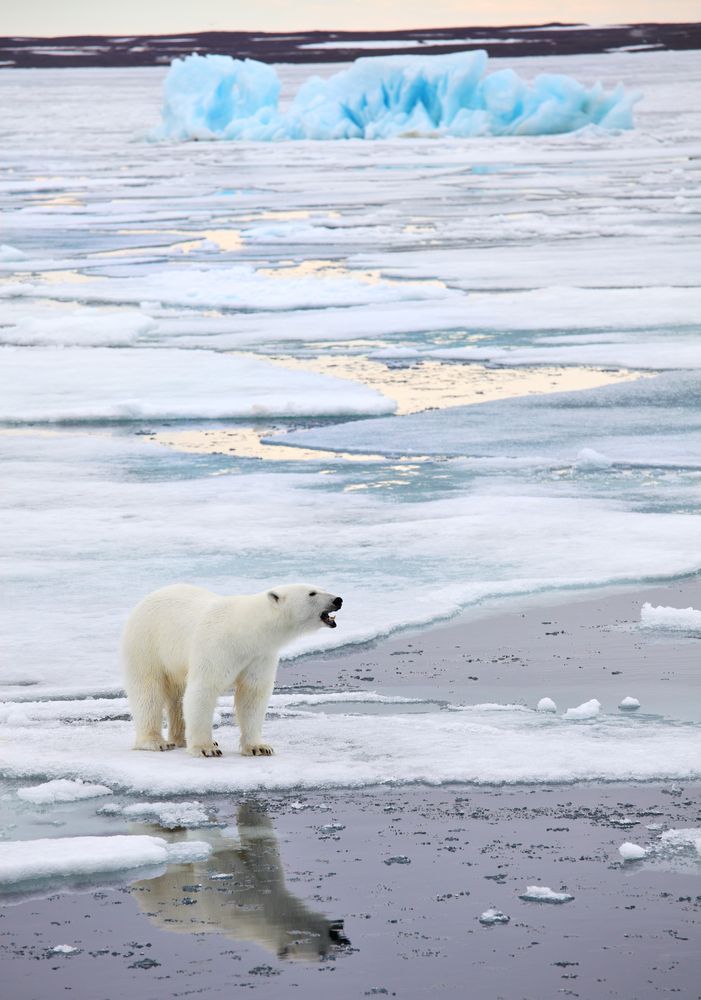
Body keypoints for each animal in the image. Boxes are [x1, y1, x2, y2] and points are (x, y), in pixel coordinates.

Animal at [121, 583, 342, 757]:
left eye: (323, 588)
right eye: (312, 593)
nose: (338, 599)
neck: (244, 631)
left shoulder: (260, 656)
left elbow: (253, 695)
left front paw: (259, 747)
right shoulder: (216, 647)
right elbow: (203, 690)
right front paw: (206, 748)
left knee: (176, 696)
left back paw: (180, 739)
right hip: (147, 643)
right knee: (147, 692)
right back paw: (155, 742)